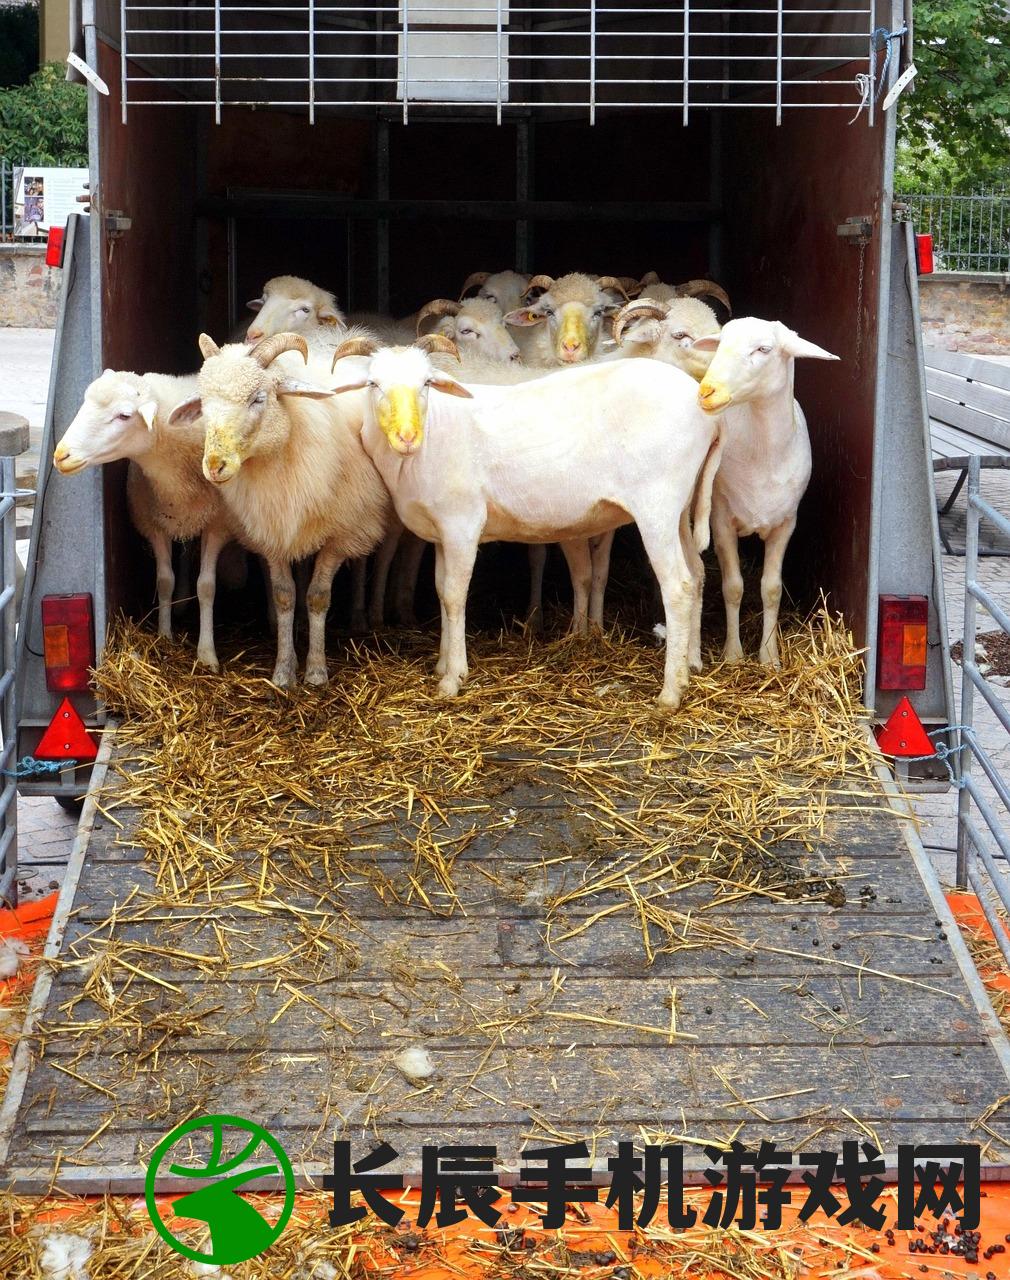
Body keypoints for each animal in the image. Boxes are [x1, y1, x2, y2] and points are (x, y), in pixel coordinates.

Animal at [53, 368, 232, 670]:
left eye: (124, 416)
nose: (61, 455)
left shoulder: (217, 526)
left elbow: (207, 587)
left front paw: (207, 655)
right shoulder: (154, 525)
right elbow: (164, 580)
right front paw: (164, 635)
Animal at [168, 332, 389, 691]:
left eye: (258, 398)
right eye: (203, 404)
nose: (215, 465)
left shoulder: (339, 536)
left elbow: (318, 596)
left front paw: (315, 671)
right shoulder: (273, 532)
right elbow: (285, 595)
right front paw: (285, 670)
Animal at [332, 340, 727, 706]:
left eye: (427, 382)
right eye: (373, 383)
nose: (407, 437)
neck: (430, 438)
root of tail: (706, 412)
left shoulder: (462, 524)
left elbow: (456, 597)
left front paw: (453, 678)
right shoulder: (442, 532)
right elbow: (442, 591)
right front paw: (443, 664)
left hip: (657, 503)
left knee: (678, 586)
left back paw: (670, 693)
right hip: (681, 505)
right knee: (696, 574)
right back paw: (691, 665)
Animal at [691, 318, 839, 665]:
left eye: (763, 349)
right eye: (720, 344)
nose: (707, 391)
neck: (764, 456)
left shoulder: (786, 524)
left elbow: (771, 589)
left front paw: (769, 657)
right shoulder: (721, 522)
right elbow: (733, 587)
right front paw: (733, 654)